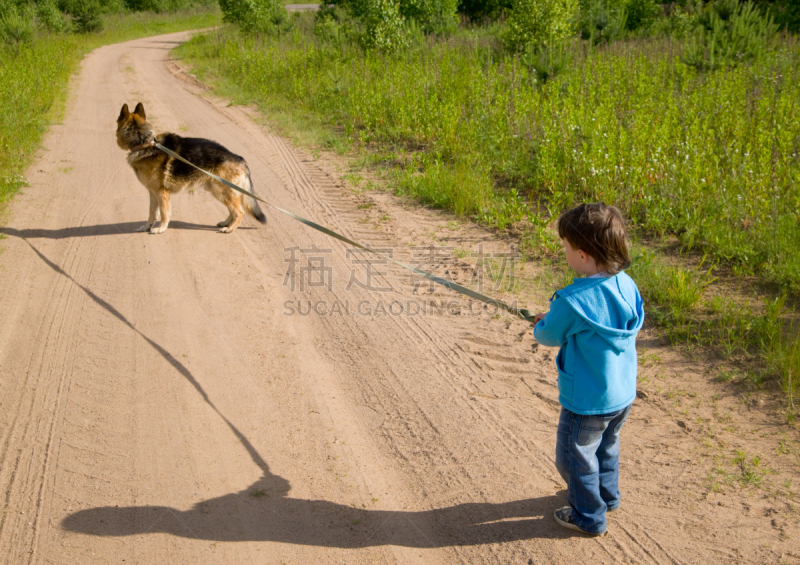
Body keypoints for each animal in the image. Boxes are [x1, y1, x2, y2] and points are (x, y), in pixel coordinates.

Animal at [115, 102, 268, 234]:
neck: (144, 143)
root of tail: (240, 159)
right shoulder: (152, 193)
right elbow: (152, 212)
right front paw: (147, 227)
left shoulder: (161, 194)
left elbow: (164, 213)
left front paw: (161, 229)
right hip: (218, 192)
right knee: (233, 211)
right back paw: (226, 223)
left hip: (222, 191)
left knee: (239, 212)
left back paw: (229, 229)